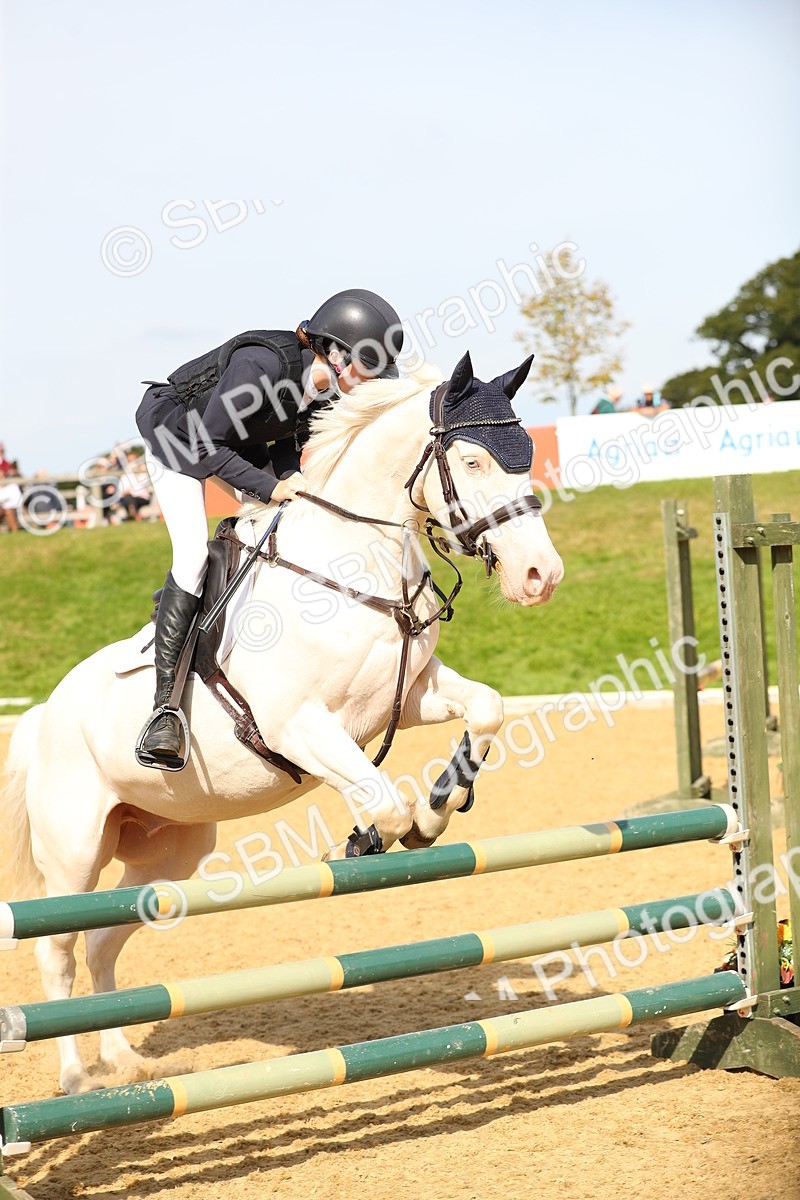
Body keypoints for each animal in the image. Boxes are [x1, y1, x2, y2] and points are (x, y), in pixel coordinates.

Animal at [2, 351, 564, 1095]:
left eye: (527, 451)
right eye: (471, 462)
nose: (540, 575)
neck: (353, 562)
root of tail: (44, 713)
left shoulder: (410, 694)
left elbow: (487, 709)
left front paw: (436, 811)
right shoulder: (296, 725)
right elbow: (381, 797)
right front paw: (379, 833)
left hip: (168, 854)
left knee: (102, 939)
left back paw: (123, 1062)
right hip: (72, 853)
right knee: (58, 950)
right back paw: (77, 1079)